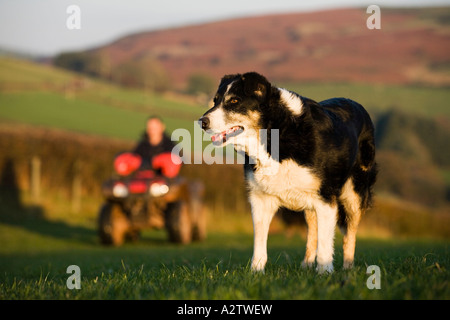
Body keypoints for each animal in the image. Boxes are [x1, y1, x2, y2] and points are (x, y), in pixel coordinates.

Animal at [199, 72, 378, 272]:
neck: (275, 133)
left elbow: (326, 243)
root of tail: (356, 104)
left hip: (354, 193)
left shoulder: (326, 198)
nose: (202, 122)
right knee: (313, 228)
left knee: (350, 234)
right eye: (215, 101)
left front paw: (325, 273)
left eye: (234, 101)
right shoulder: (260, 198)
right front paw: (255, 272)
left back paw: (347, 269)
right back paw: (306, 265)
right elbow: (259, 242)